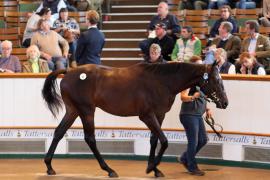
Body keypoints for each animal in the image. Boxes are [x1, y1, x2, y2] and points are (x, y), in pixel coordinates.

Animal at [41, 62, 228, 177]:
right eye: (216, 80)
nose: (225, 102)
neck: (161, 82)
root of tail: (69, 72)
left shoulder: (159, 115)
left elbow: (155, 140)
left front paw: (155, 169)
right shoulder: (146, 116)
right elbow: (164, 141)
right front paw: (152, 167)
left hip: (73, 111)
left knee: (59, 132)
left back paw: (49, 166)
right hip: (86, 111)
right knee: (90, 138)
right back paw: (109, 170)